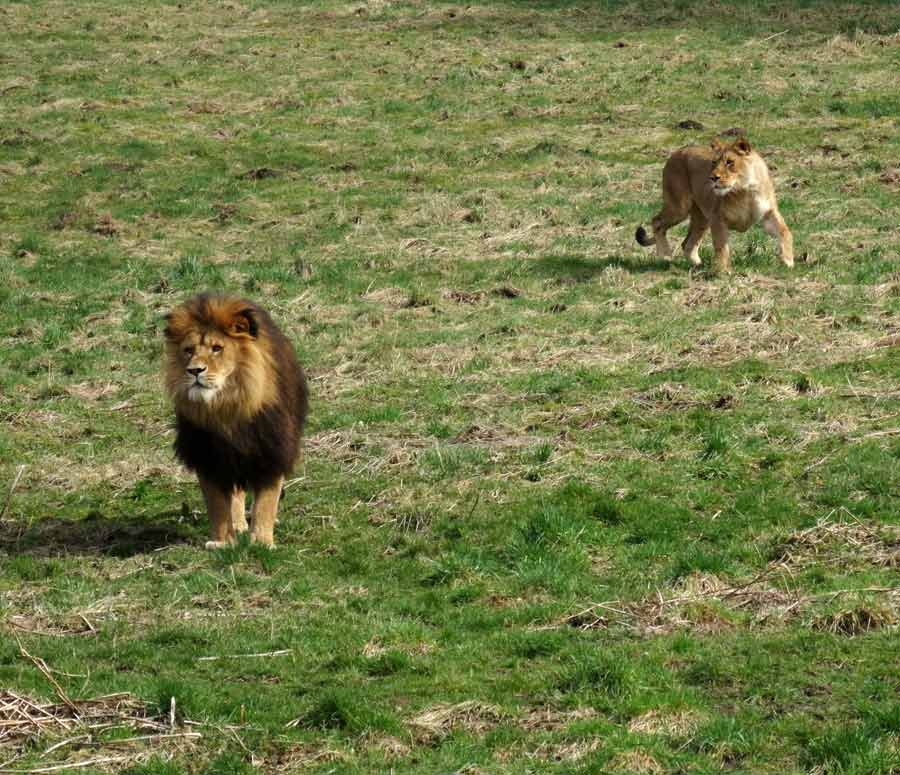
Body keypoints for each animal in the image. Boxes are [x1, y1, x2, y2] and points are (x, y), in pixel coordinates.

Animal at [164, 292, 310, 552]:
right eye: (188, 350)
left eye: (217, 349)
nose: (194, 371)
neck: (228, 406)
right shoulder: (208, 457)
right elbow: (217, 505)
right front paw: (223, 542)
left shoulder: (271, 450)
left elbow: (266, 501)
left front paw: (261, 542)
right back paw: (239, 524)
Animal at [636, 138, 792, 274]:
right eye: (714, 162)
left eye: (730, 162)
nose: (713, 178)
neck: (745, 191)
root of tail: (676, 152)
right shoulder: (717, 218)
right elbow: (721, 246)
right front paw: (722, 271)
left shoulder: (769, 213)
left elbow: (785, 231)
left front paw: (788, 261)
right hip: (679, 207)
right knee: (657, 222)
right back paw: (665, 256)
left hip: (702, 218)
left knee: (687, 244)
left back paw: (698, 265)